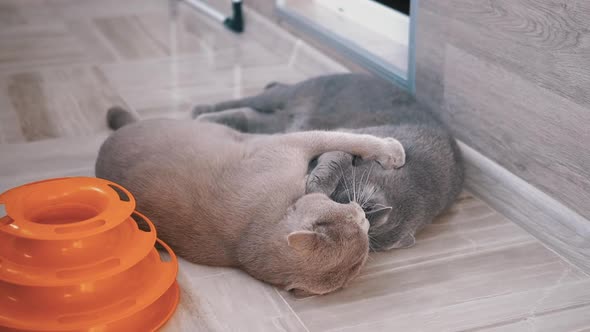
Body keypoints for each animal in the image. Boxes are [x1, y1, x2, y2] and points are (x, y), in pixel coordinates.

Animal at [194, 72, 468, 249]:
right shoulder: (353, 137)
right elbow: (335, 159)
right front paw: (316, 185)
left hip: (280, 122)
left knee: (250, 116)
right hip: (292, 94)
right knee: (251, 100)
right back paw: (201, 111)